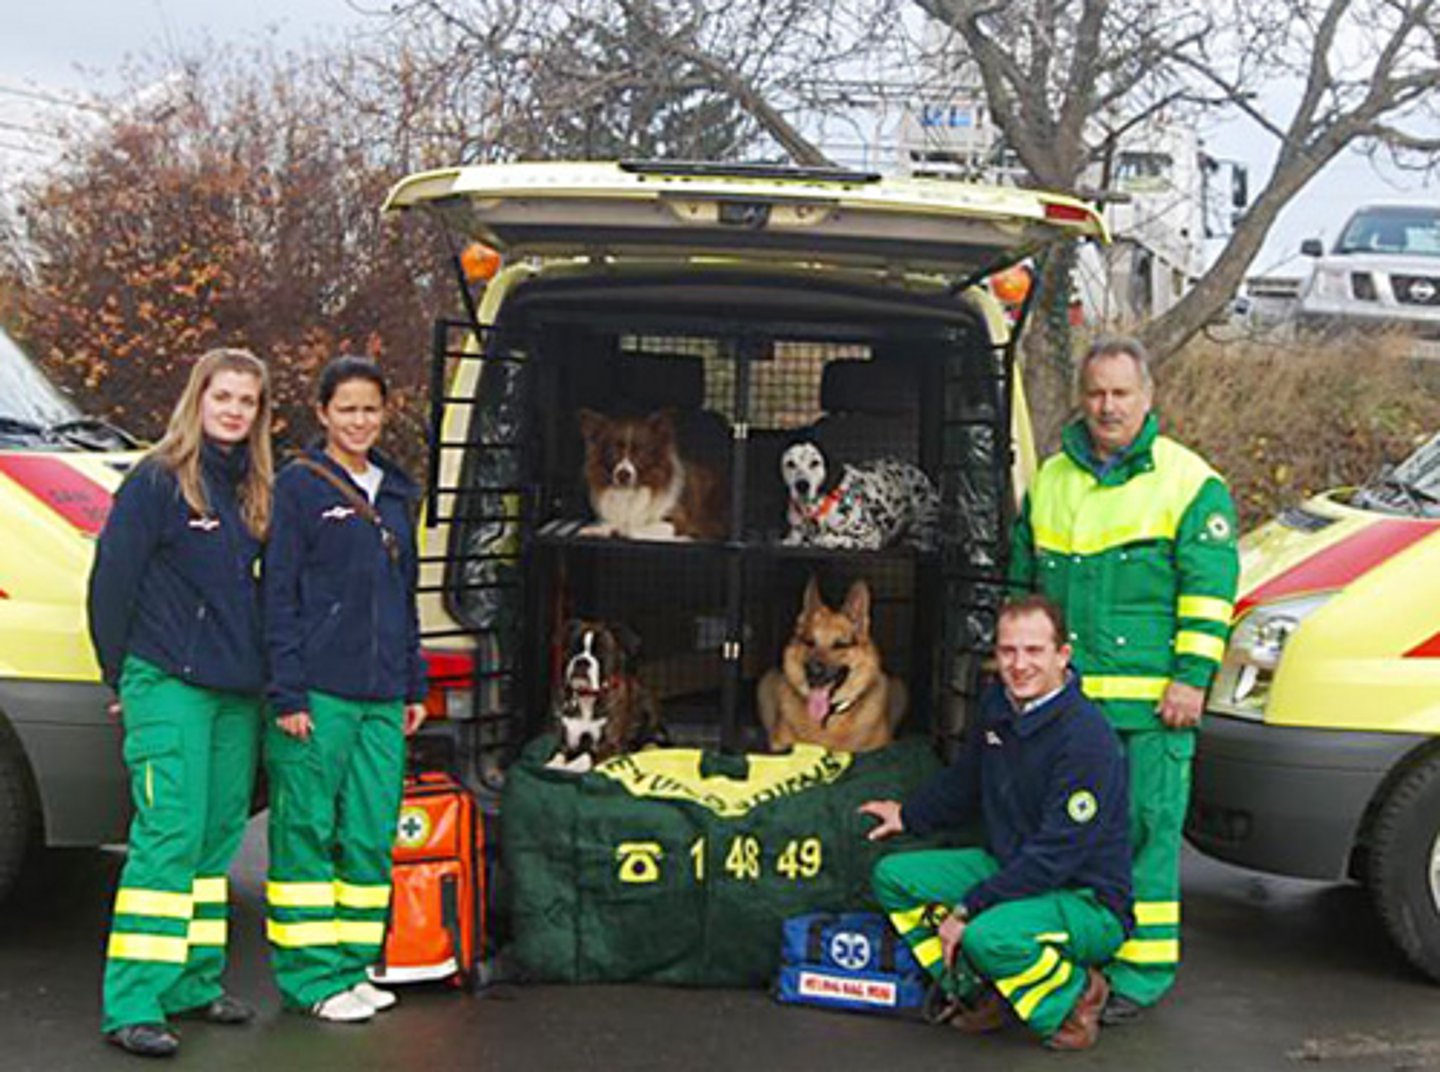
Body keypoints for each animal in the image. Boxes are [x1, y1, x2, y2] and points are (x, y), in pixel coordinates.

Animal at [783, 440, 938, 553]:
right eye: (790, 463)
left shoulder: (870, 535)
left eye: (815, 462)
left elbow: (838, 537)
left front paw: (828, 540)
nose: (802, 485)